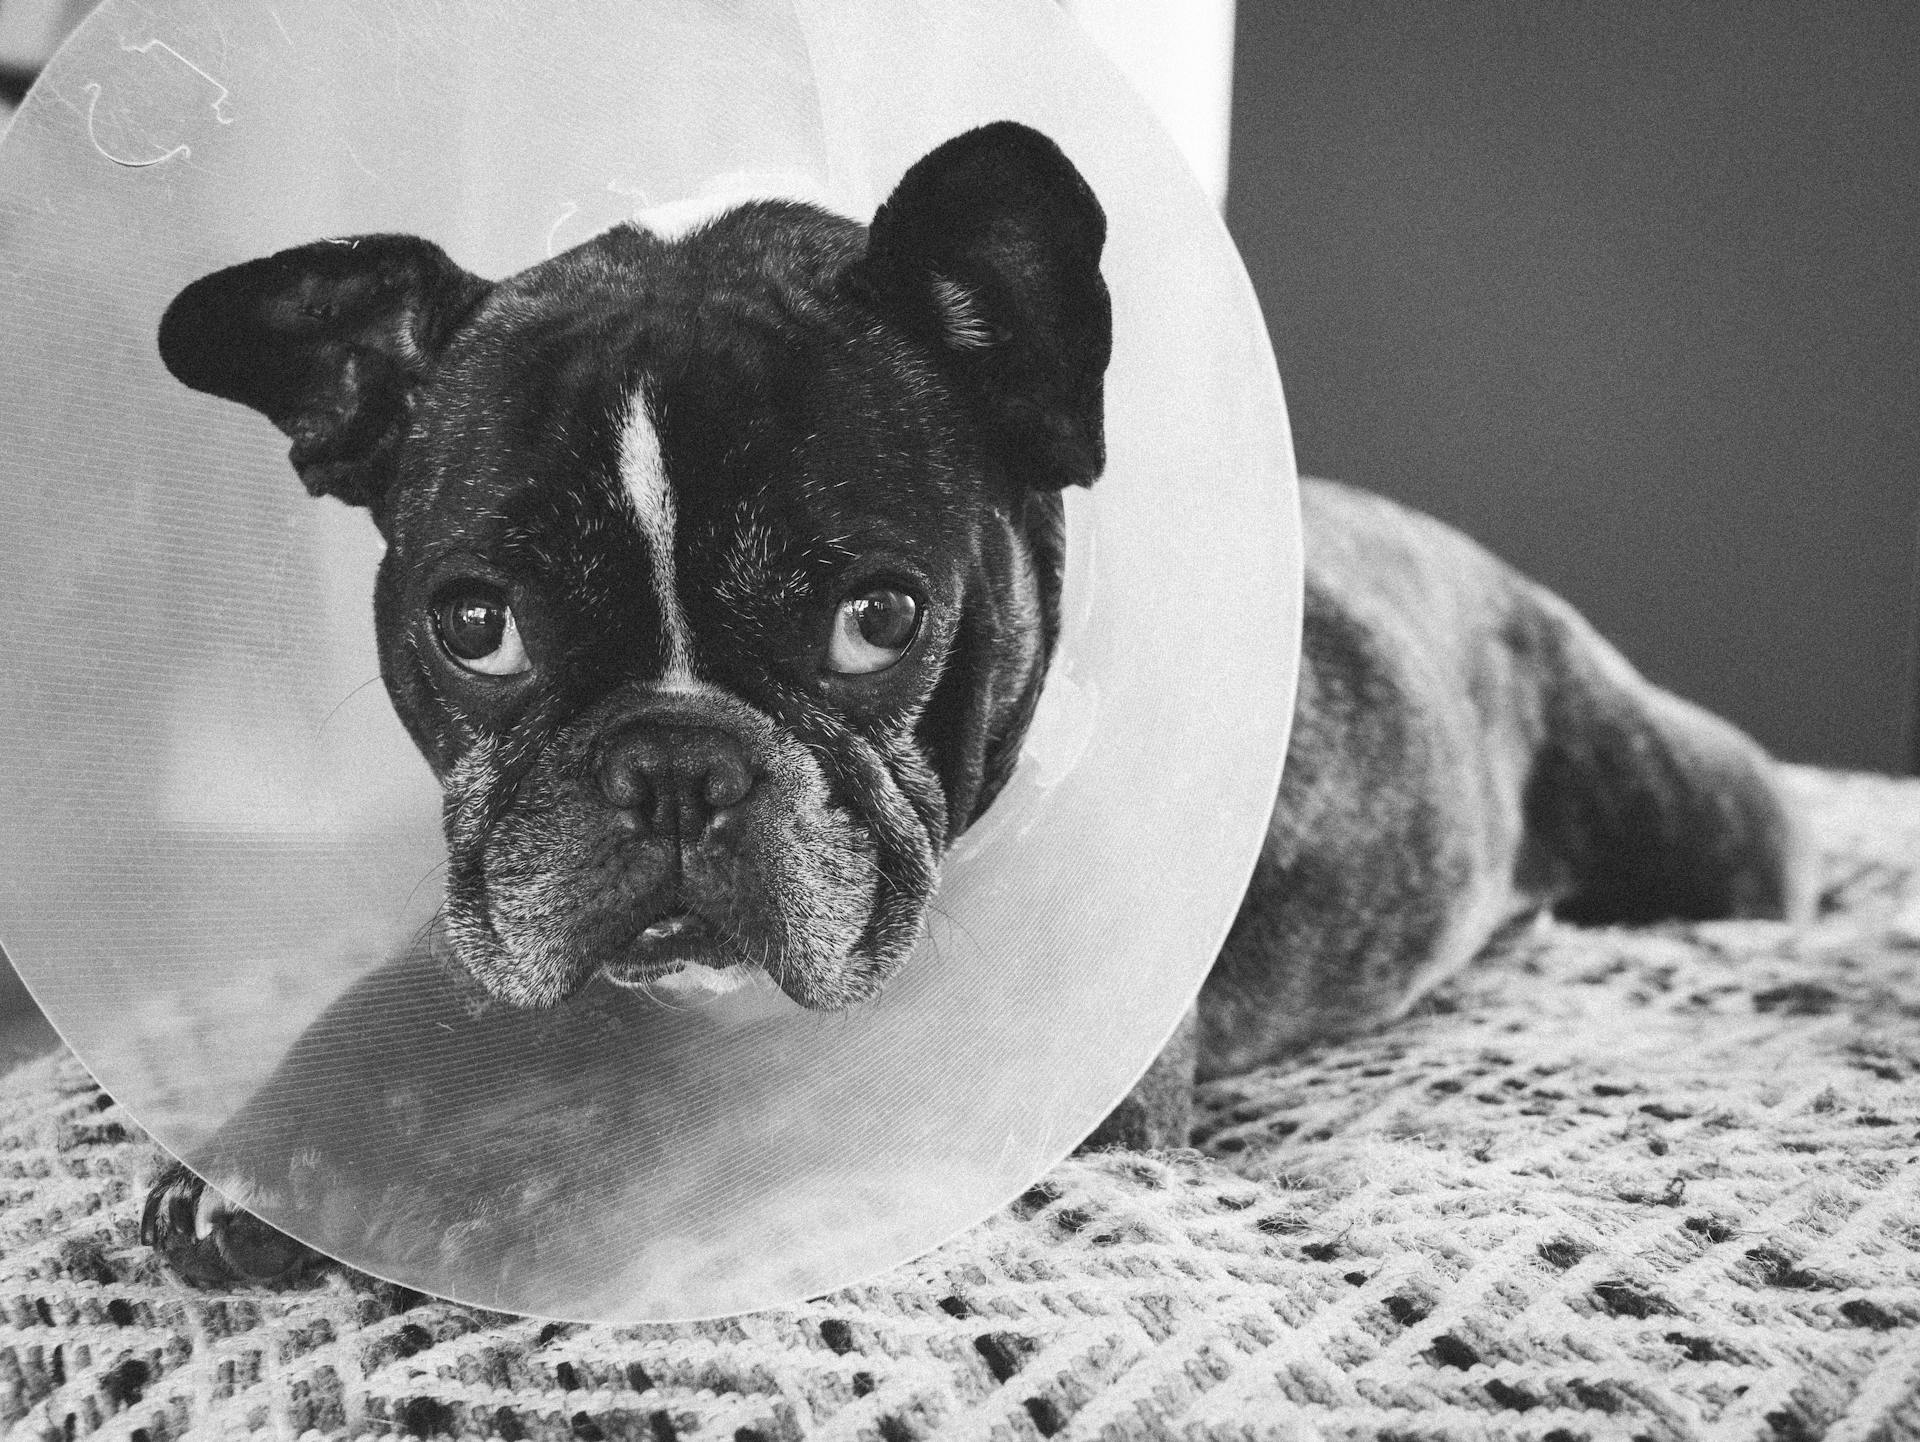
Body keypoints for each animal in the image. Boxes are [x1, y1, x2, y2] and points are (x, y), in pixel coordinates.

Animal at [135, 121, 1797, 1282]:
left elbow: (711, 1120)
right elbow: (398, 997)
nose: (673, 762)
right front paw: (254, 1158)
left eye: (880, 615)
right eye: (474, 627)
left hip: (1701, 816)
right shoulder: (492, 915)